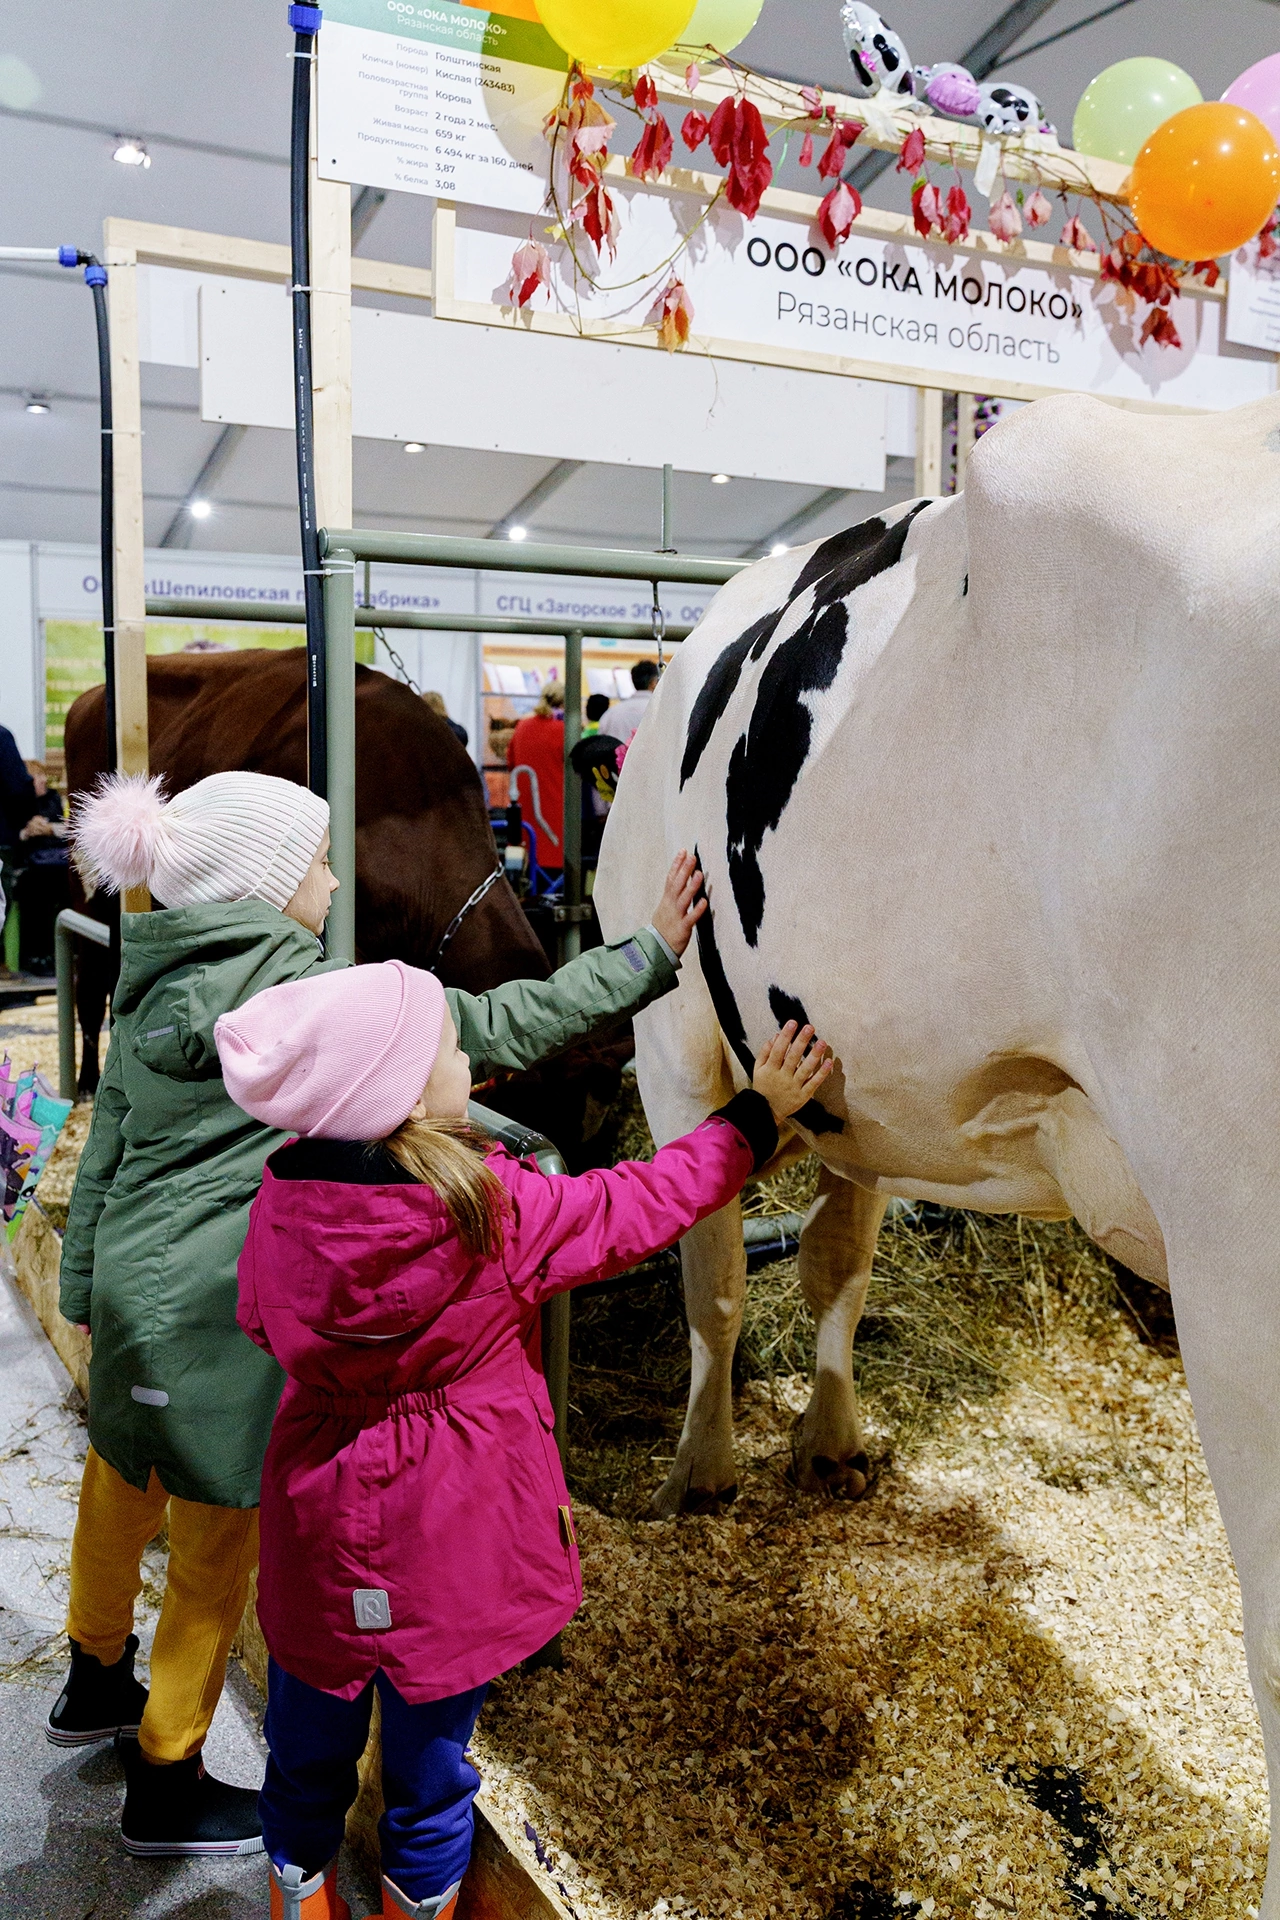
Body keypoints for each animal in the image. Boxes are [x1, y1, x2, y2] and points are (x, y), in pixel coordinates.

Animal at [594, 385, 1280, 1904]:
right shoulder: (812, 1075)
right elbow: (811, 1263)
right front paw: (816, 1441)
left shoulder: (673, 1038)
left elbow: (717, 1277)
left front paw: (705, 1466)